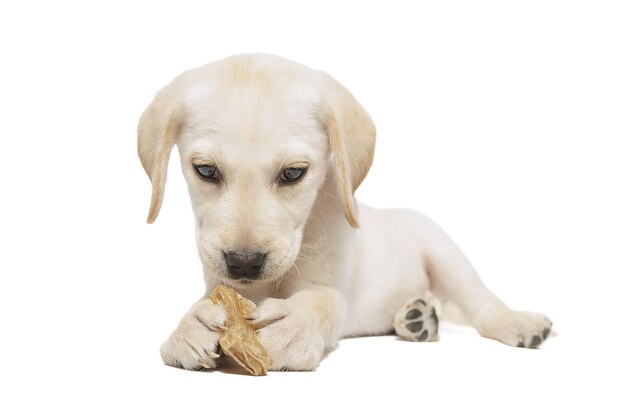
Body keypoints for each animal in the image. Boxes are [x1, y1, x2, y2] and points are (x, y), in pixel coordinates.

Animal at [138, 52, 552, 370]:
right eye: (206, 171)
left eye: (294, 173)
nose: (244, 262)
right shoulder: (222, 284)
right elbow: (206, 301)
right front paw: (190, 326)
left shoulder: (333, 286)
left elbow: (323, 302)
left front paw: (292, 324)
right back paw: (420, 317)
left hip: (444, 252)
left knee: (482, 303)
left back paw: (516, 322)